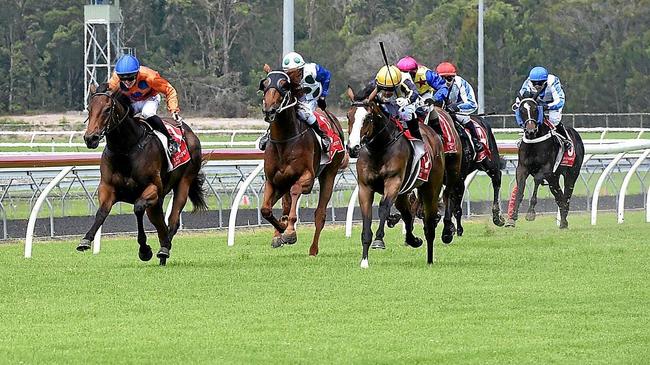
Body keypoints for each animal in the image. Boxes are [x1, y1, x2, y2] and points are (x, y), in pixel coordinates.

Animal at [78, 83, 206, 264]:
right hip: (158, 200)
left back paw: (164, 249)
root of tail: (189, 131)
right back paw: (163, 249)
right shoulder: (107, 187)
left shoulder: (153, 188)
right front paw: (86, 240)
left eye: (107, 109)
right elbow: (102, 212)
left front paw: (144, 249)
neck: (126, 150)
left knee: (172, 221)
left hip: (184, 182)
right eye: (89, 108)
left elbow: (138, 208)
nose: (91, 138)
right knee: (160, 222)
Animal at [258, 68, 350, 256]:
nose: (269, 110)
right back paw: (278, 233)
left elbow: (295, 193)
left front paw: (289, 231)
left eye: (284, 85)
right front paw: (281, 229)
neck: (284, 141)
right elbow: (266, 209)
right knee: (283, 205)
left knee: (320, 214)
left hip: (329, 174)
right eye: (264, 84)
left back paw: (313, 249)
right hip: (283, 184)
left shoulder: (307, 178)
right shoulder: (272, 180)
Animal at [346, 86, 442, 268]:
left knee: (429, 223)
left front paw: (379, 240)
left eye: (367, 117)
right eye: (349, 116)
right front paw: (364, 261)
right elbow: (367, 219)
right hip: (403, 194)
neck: (379, 148)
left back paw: (430, 259)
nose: (352, 147)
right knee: (407, 214)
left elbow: (383, 207)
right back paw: (413, 240)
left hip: (430, 188)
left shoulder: (393, 182)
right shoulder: (365, 188)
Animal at [506, 95, 584, 229]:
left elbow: (537, 180)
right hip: (554, 177)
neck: (534, 141)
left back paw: (564, 220)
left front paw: (530, 213)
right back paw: (563, 221)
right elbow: (520, 189)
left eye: (535, 109)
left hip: (572, 173)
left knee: (567, 195)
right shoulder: (522, 168)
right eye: (521, 110)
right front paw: (513, 217)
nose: (530, 130)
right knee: (559, 196)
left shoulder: (546, 169)